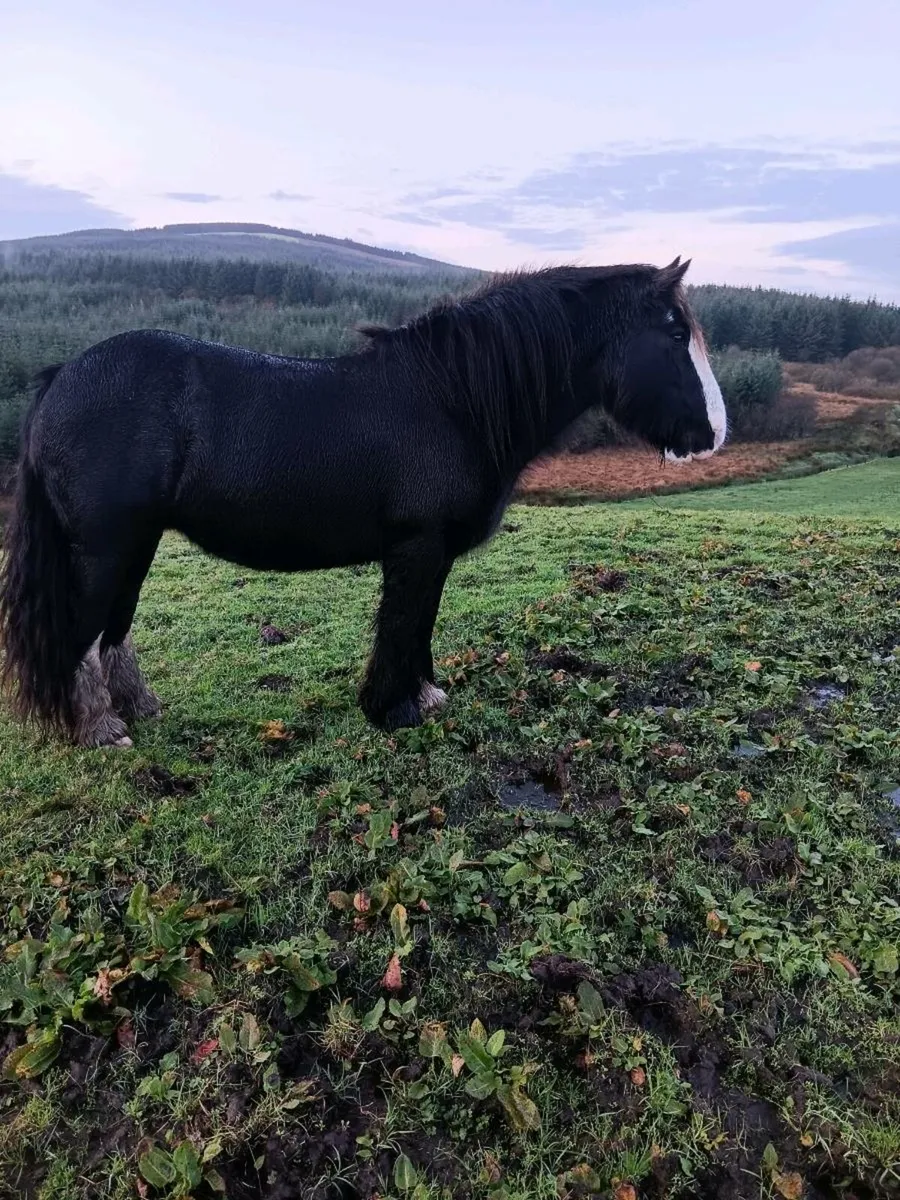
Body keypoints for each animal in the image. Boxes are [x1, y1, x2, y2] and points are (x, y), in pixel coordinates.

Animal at [0, 257, 726, 748]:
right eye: (673, 335)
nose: (715, 435)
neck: (454, 400)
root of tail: (61, 376)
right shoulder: (417, 547)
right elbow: (402, 625)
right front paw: (393, 709)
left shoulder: (434, 553)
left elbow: (424, 624)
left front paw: (426, 696)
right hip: (103, 546)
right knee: (80, 634)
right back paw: (99, 731)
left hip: (137, 542)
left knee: (113, 630)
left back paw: (137, 711)